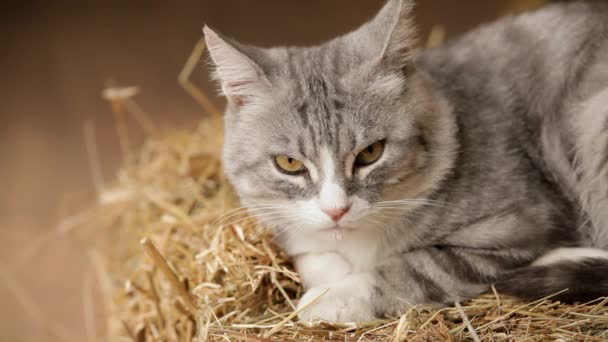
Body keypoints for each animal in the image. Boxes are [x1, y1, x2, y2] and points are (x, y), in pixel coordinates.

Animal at [204, 0, 608, 322]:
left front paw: (331, 299)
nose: (336, 210)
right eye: (289, 163)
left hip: (594, 123)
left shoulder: (520, 224)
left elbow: (418, 268)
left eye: (370, 153)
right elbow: (314, 256)